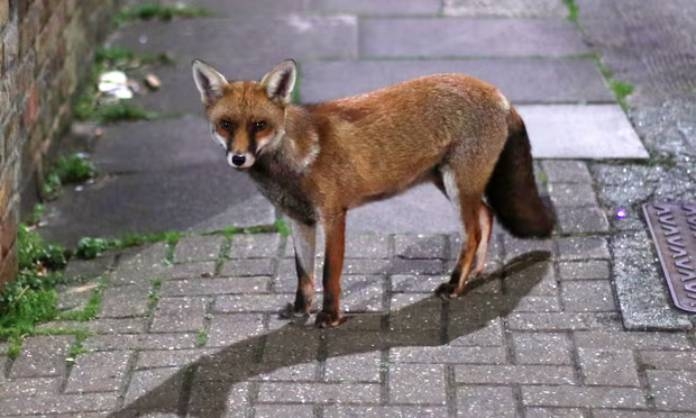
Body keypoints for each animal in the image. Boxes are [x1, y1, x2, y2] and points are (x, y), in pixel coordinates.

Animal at [192, 58, 556, 328]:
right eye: (226, 124)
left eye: (259, 125)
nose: (239, 158)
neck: (293, 163)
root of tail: (498, 93)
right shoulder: (300, 219)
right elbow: (303, 274)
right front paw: (300, 311)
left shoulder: (333, 215)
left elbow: (329, 273)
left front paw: (329, 317)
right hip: (449, 185)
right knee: (486, 215)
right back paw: (475, 275)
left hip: (457, 187)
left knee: (471, 233)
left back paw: (455, 284)